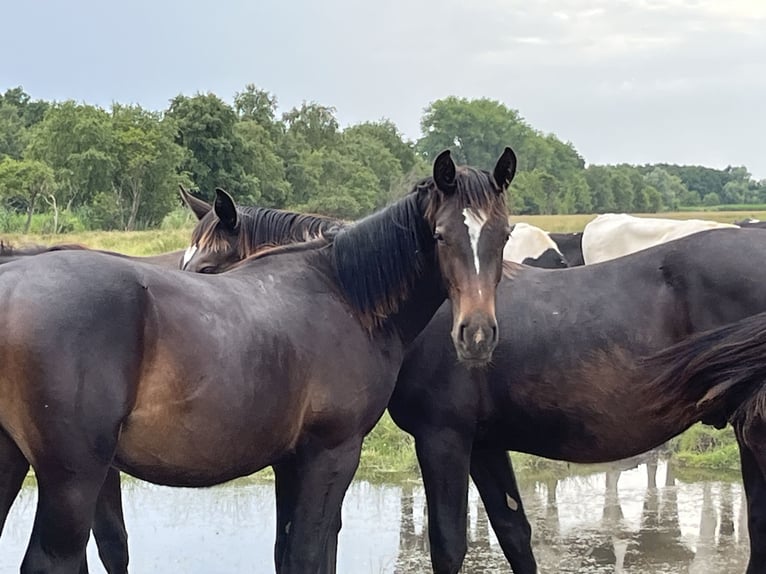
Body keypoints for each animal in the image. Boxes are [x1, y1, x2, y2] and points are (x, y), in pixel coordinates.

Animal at [0, 148, 514, 574]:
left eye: (504, 234)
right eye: (441, 235)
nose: (477, 334)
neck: (345, 295)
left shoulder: (291, 462)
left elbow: (291, 554)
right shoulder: (332, 454)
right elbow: (307, 557)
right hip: (73, 481)